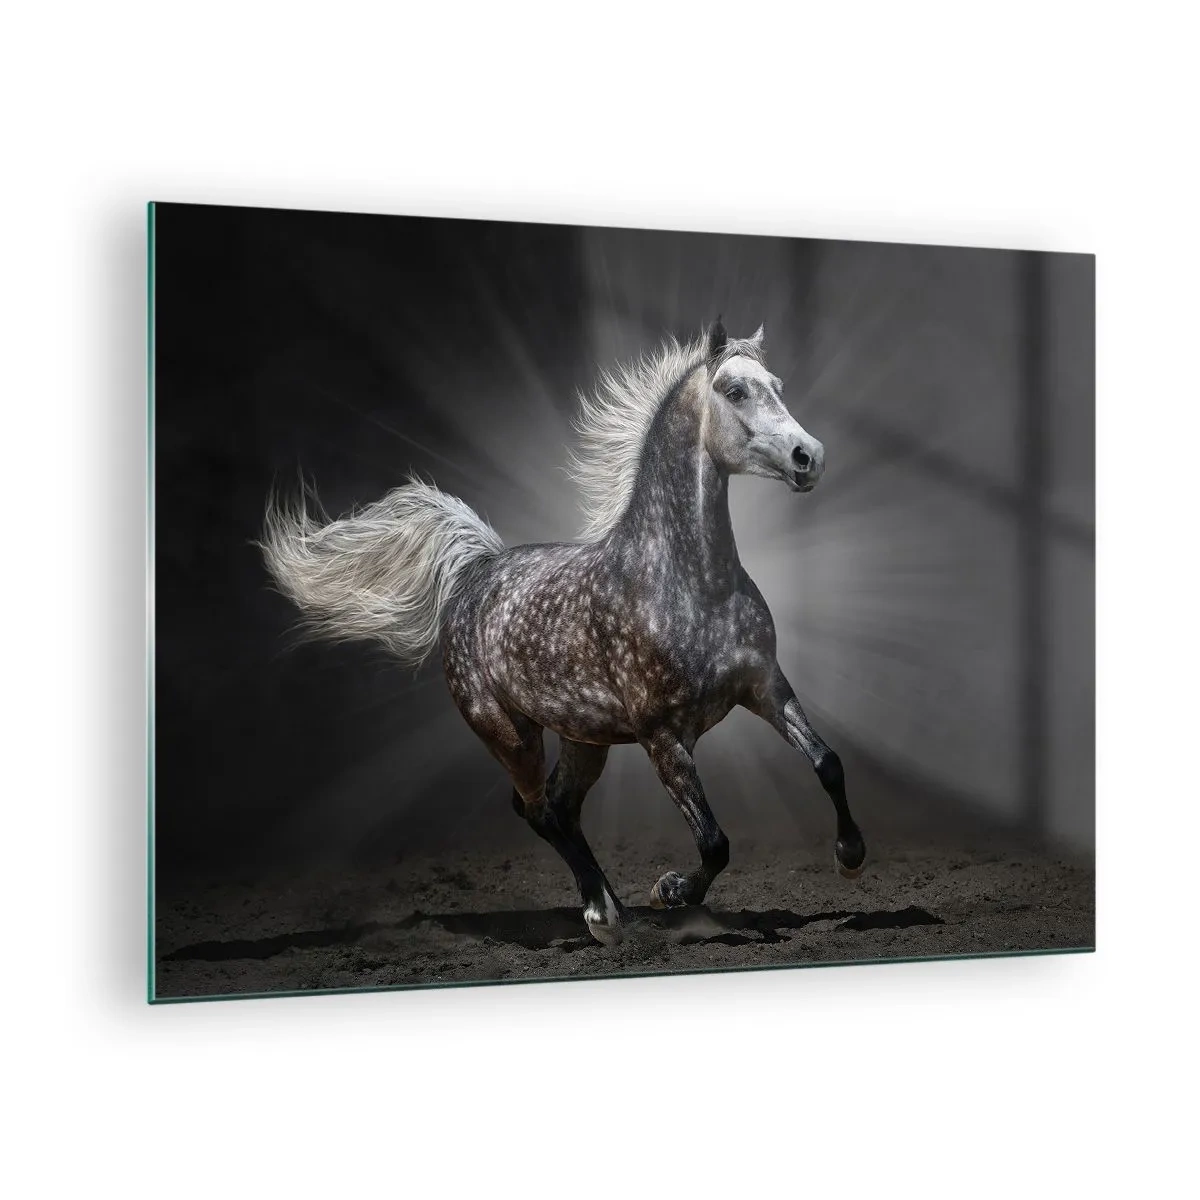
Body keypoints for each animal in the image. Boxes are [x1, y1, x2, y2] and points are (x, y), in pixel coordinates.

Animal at [260, 321, 866, 945]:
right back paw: (602, 913)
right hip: (509, 734)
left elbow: (828, 763)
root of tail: (476, 572)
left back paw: (612, 906)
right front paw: (670, 891)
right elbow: (714, 843)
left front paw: (849, 857)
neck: (691, 583)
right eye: (735, 391)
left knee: (560, 806)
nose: (809, 457)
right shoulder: (663, 738)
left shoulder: (765, 688)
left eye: (777, 385)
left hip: (584, 740)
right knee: (537, 809)